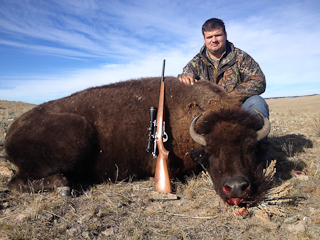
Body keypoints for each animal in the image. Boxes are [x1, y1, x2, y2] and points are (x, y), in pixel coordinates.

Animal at [4, 77, 270, 206]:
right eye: (211, 150)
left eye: (251, 148)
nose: (236, 188)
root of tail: (11, 132)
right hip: (75, 137)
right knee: (16, 182)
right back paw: (64, 186)